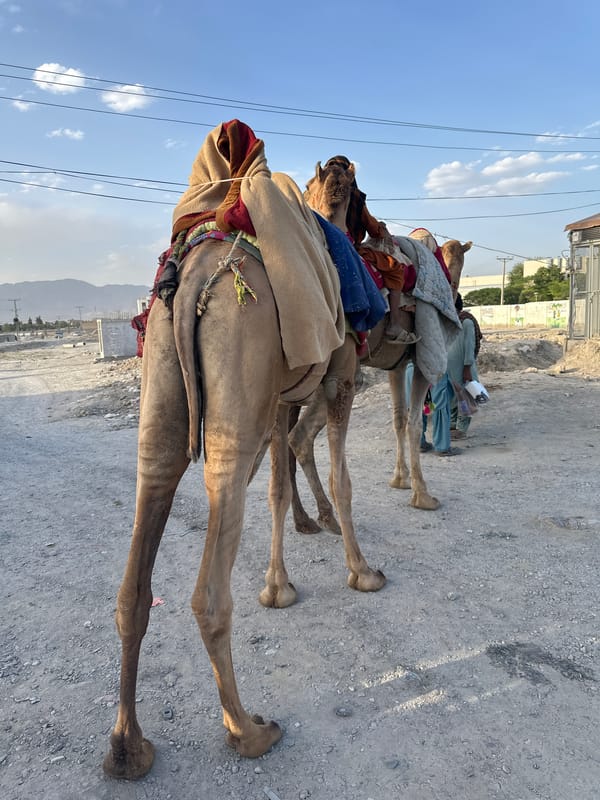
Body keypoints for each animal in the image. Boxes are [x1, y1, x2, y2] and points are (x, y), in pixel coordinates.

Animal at [103, 124, 385, 781]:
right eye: (361, 193)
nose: (377, 231)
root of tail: (188, 282)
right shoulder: (339, 375)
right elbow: (341, 478)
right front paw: (362, 571)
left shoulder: (280, 394)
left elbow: (280, 484)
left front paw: (280, 584)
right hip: (239, 350)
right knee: (209, 585)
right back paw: (247, 730)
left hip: (163, 380)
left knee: (143, 538)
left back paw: (128, 747)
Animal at [289, 158, 472, 528]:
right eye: (456, 262)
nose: (458, 298)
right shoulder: (423, 360)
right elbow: (414, 421)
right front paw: (423, 495)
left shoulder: (395, 365)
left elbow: (398, 418)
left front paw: (399, 479)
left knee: (286, 439)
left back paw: (312, 517)